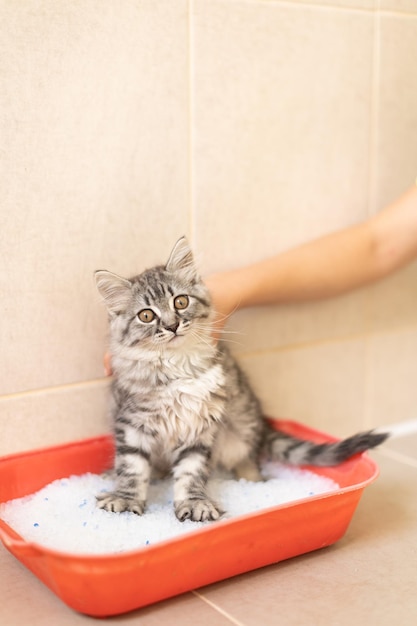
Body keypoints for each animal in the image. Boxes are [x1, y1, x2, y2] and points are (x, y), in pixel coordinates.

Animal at [94, 236, 386, 520]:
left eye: (180, 301)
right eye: (146, 315)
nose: (172, 325)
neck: (176, 365)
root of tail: (262, 424)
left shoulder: (200, 426)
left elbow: (191, 471)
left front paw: (195, 503)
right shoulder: (131, 423)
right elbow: (131, 467)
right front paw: (125, 499)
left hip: (241, 430)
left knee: (248, 462)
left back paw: (254, 482)